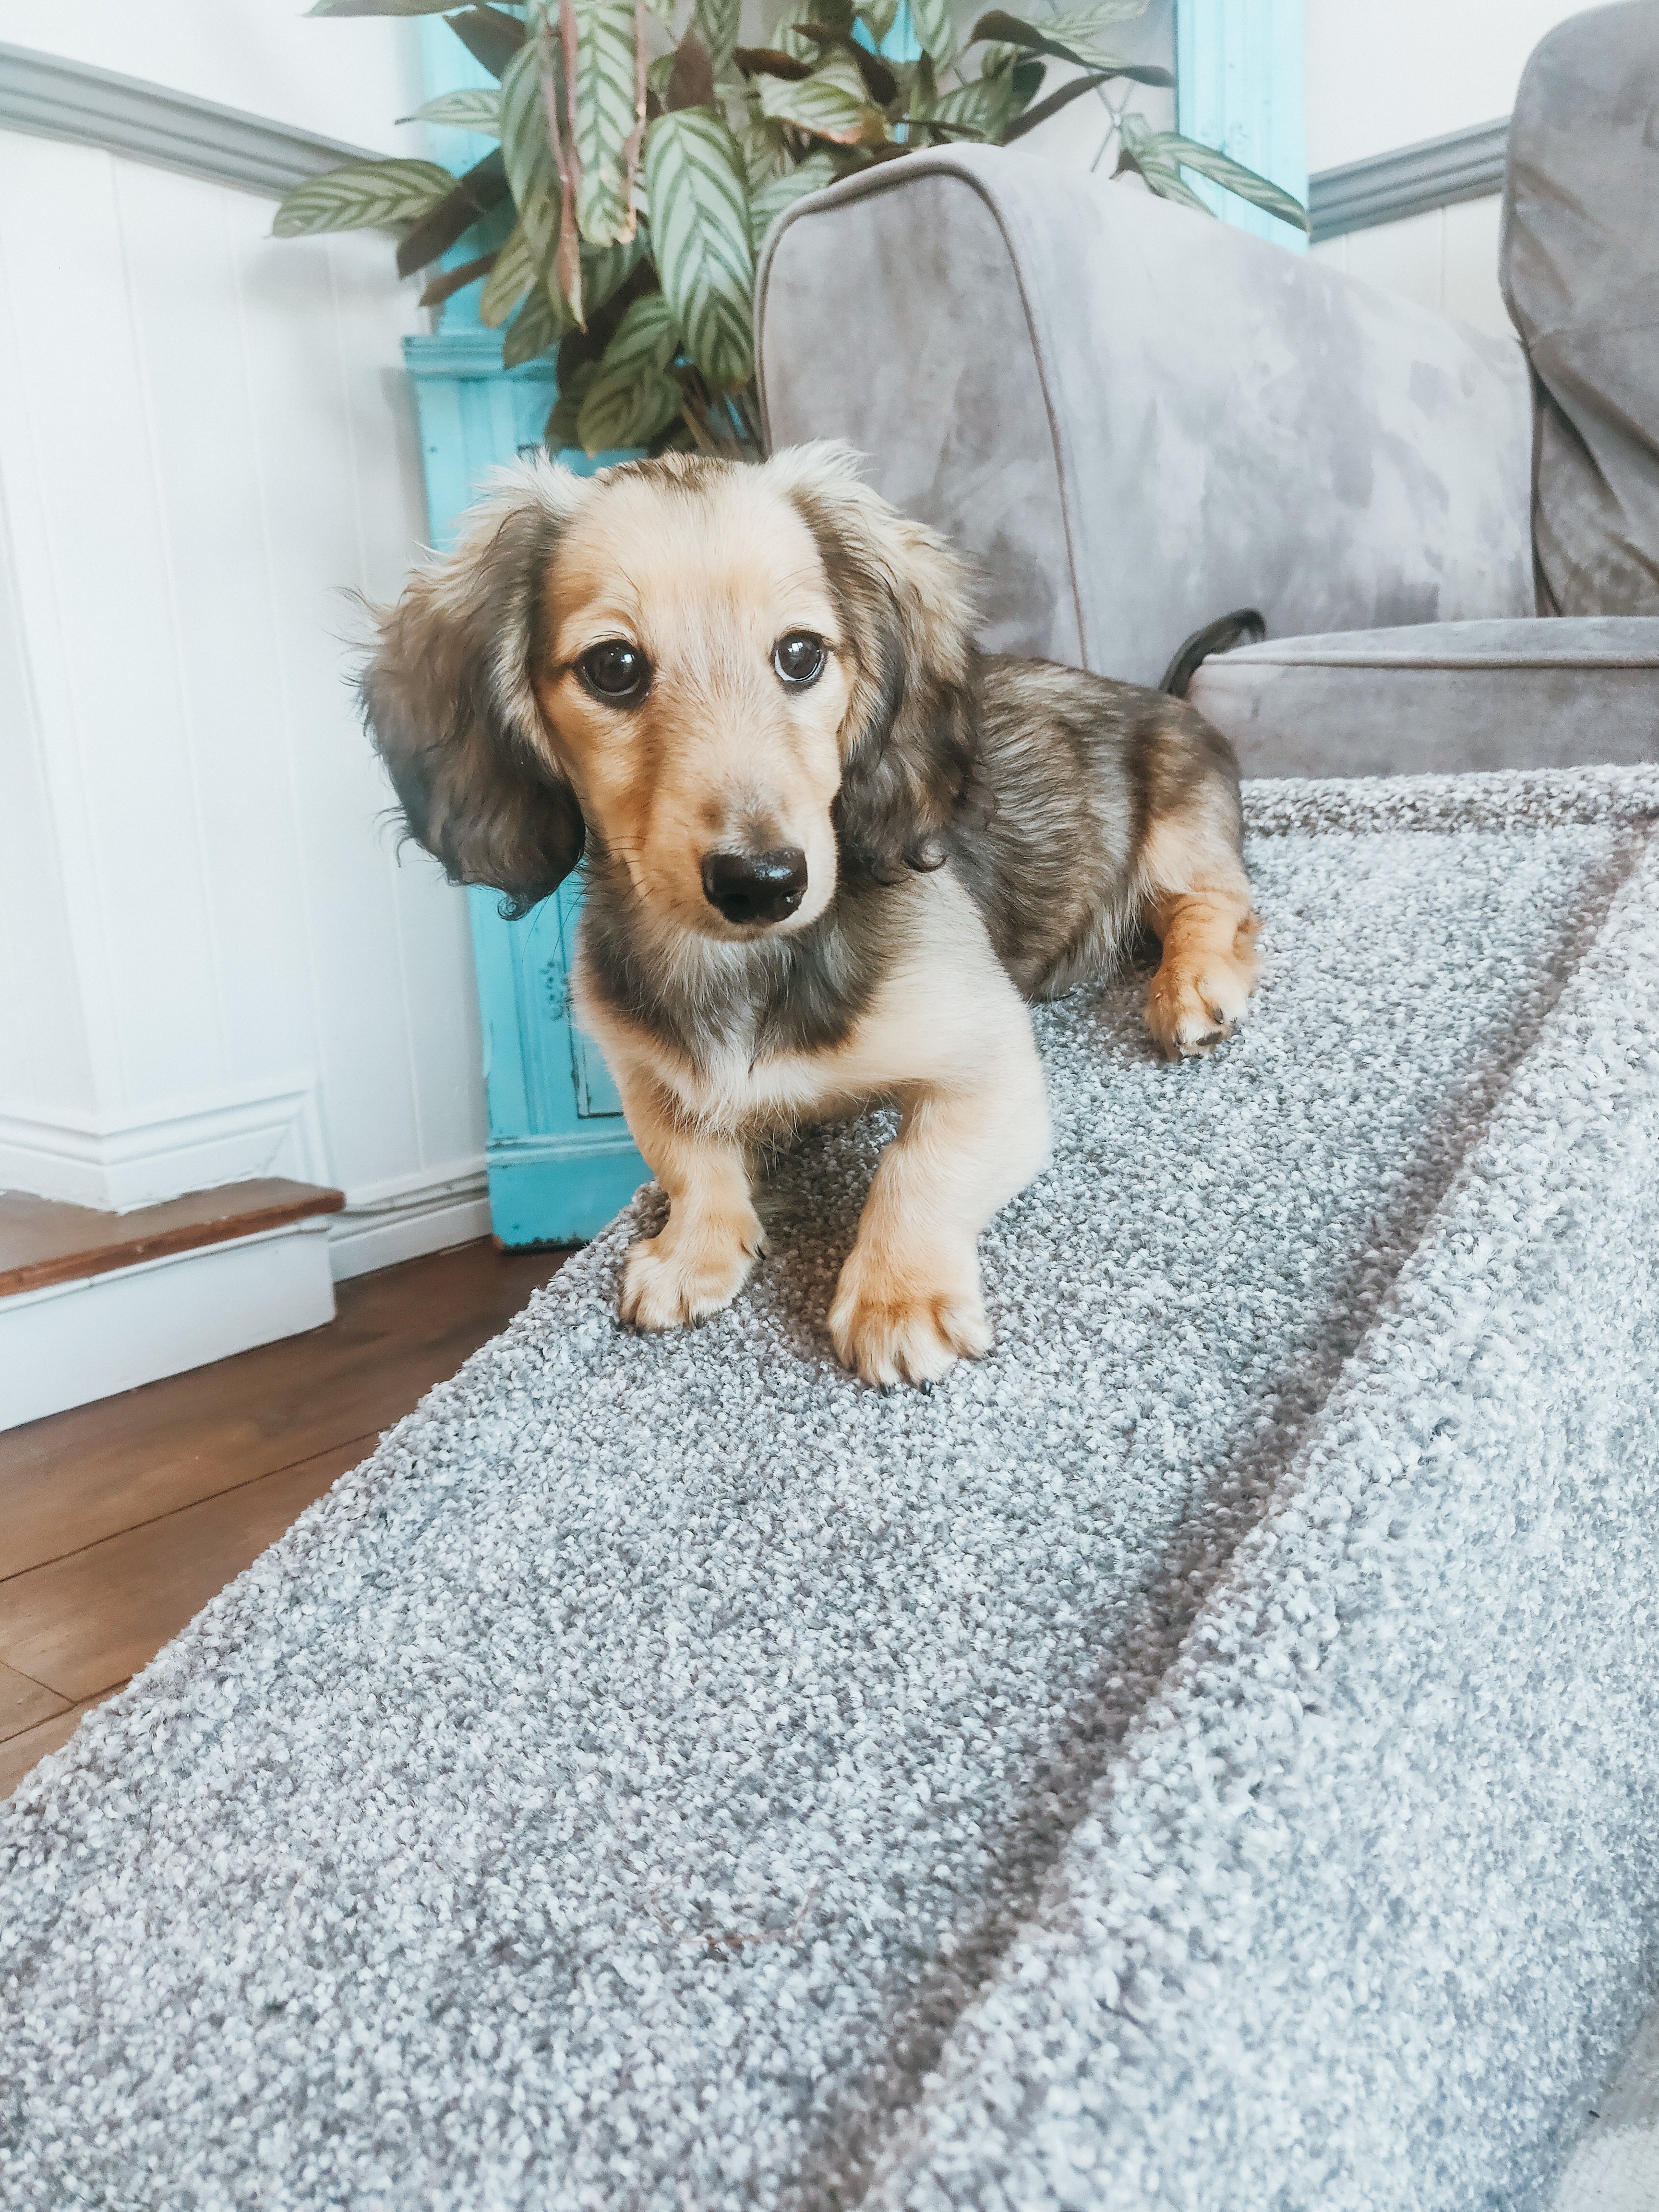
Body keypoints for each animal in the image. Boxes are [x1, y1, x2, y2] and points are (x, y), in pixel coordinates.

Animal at [362, 445, 1256, 1380]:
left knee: (1215, 904)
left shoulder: (992, 1067)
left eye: (800, 654)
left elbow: (917, 1165)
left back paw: (1193, 987)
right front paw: (693, 1247)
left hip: (1179, 840)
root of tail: (1155, 693)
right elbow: (686, 1157)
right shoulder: (642, 1072)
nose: (763, 881)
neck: (742, 967)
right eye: (614, 667)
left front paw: (901, 1294)